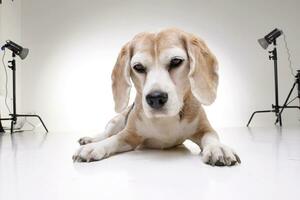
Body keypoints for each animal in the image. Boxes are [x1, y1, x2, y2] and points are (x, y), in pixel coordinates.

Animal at [73, 27, 241, 166]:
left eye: (176, 61)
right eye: (138, 67)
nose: (155, 98)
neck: (165, 120)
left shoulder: (204, 129)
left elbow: (211, 137)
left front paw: (218, 148)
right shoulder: (129, 135)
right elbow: (113, 139)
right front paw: (95, 147)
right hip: (117, 120)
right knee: (107, 133)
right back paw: (90, 140)